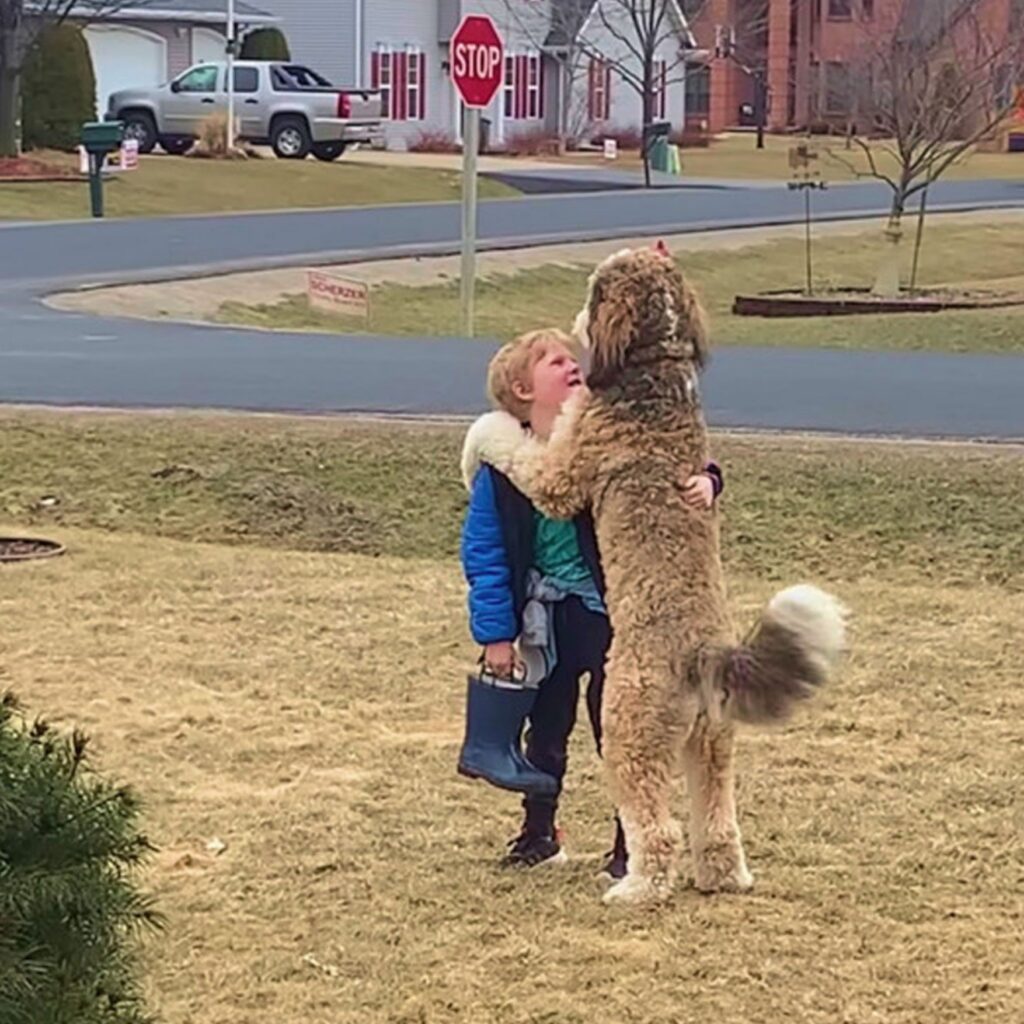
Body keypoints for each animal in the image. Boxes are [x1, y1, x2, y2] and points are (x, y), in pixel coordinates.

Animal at [505, 245, 847, 905]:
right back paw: (724, 877)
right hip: (711, 743)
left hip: (628, 731)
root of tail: (706, 653)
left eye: (594, 289)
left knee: (655, 828)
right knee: (716, 823)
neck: (656, 363)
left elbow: (519, 455)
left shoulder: (565, 473)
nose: (575, 321)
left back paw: (636, 888)